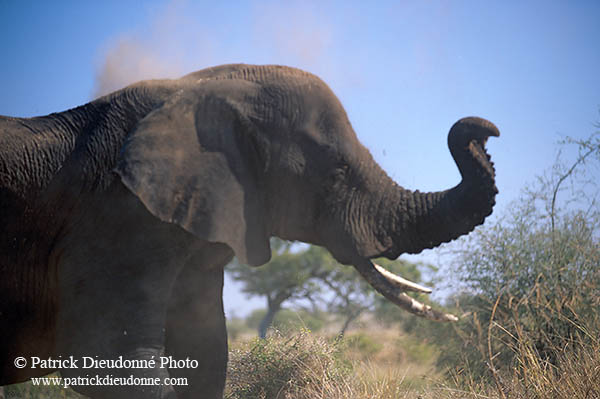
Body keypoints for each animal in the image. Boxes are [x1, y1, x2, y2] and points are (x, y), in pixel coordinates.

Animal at [0, 64, 496, 398]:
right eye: (336, 171)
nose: (485, 128)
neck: (198, 89)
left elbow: (206, 357)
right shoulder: (115, 220)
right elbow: (111, 362)